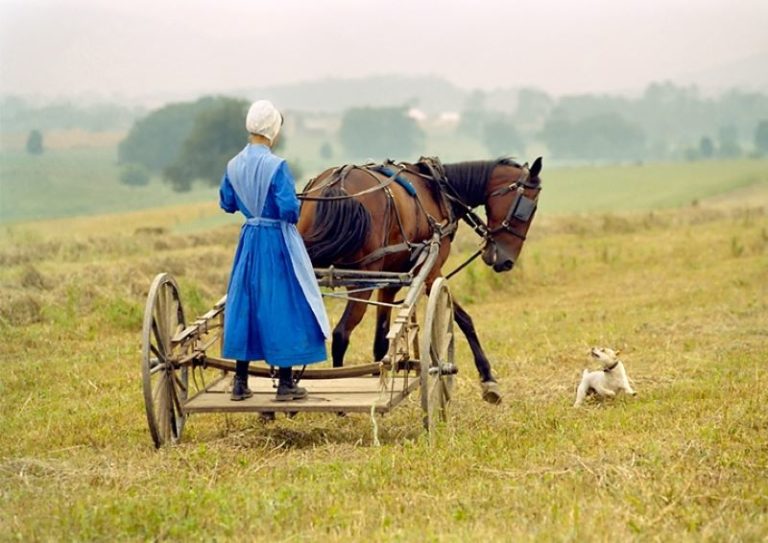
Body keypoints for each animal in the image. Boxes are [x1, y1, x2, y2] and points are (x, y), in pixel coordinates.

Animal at [296, 157, 544, 404]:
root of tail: (337, 182)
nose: (506, 262)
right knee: (341, 335)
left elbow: (381, 341)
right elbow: (464, 319)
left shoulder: (389, 283)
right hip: (362, 283)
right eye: (528, 208)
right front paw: (488, 379)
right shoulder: (431, 273)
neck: (438, 190)